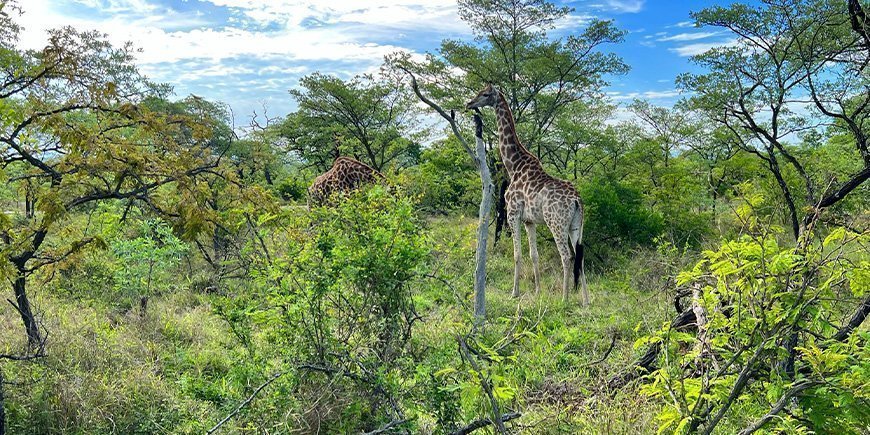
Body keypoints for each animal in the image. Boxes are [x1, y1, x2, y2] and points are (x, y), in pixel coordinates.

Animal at [466, 84, 588, 305]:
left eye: (485, 94)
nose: (469, 103)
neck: (513, 165)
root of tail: (577, 200)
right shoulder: (529, 221)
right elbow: (534, 254)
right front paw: (538, 291)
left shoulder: (512, 213)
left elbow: (517, 254)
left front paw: (514, 292)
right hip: (576, 225)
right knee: (580, 256)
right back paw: (585, 300)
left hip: (556, 223)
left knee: (567, 256)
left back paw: (564, 299)